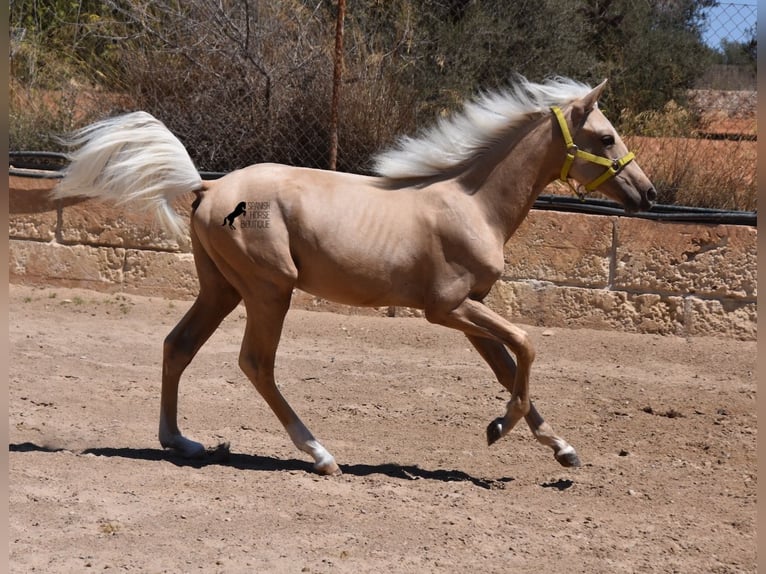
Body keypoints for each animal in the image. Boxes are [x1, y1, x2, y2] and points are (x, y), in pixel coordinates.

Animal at [52, 76, 656, 476]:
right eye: (606, 137)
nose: (648, 194)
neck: (473, 203)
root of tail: (208, 186)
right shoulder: (447, 309)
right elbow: (527, 346)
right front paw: (498, 429)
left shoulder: (471, 311)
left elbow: (510, 368)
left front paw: (560, 447)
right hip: (269, 290)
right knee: (255, 364)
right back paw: (320, 454)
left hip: (221, 289)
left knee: (178, 345)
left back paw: (181, 442)